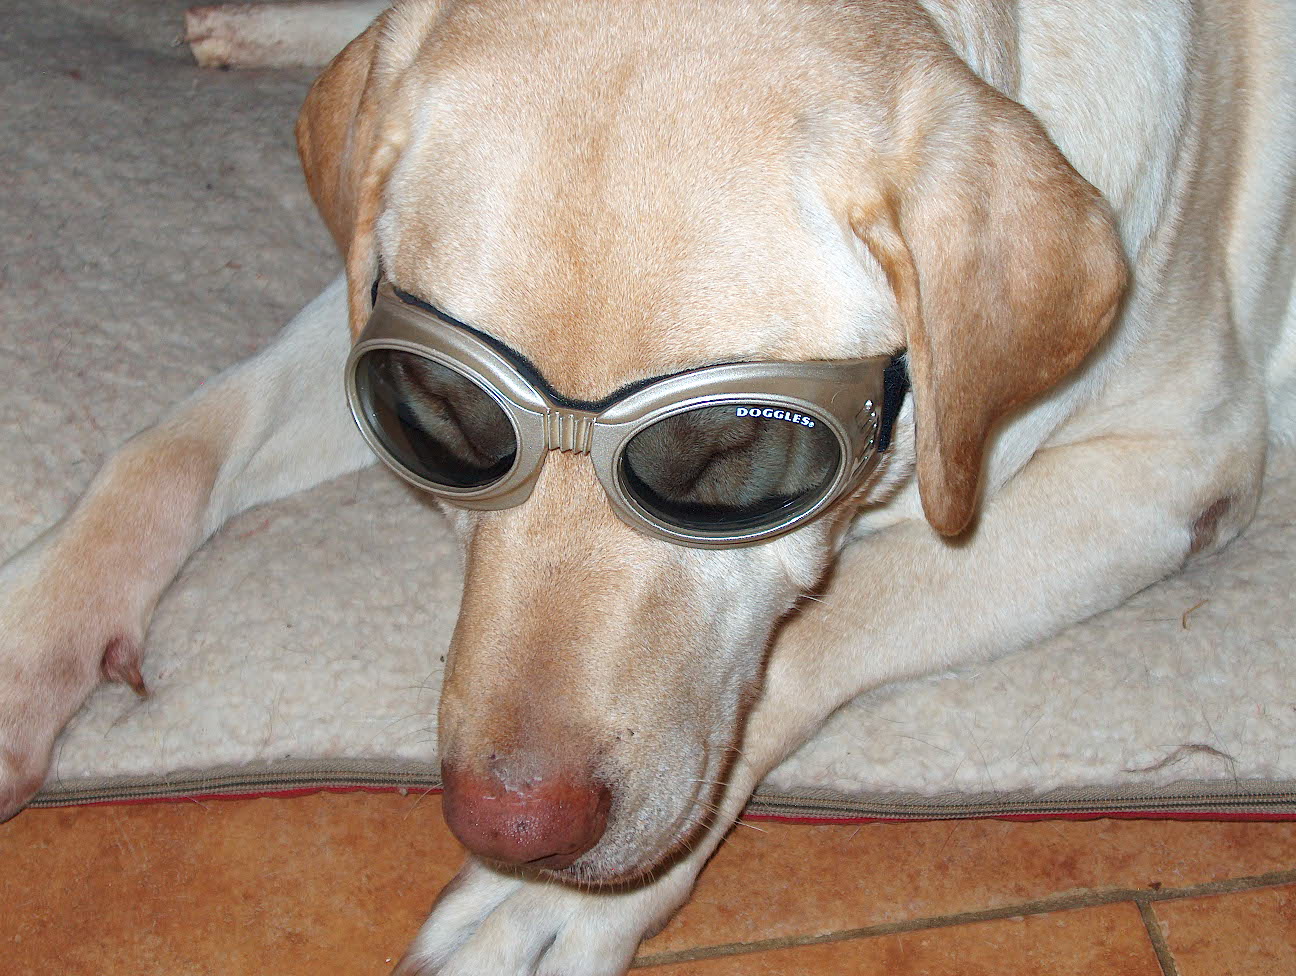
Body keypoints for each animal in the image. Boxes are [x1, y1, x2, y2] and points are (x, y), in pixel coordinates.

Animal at [2, 1, 1294, 973]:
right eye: (449, 413)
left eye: (728, 451)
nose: (512, 828)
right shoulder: (388, 325)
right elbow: (174, 442)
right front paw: (32, 639)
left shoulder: (1167, 471)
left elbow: (825, 633)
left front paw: (547, 905)